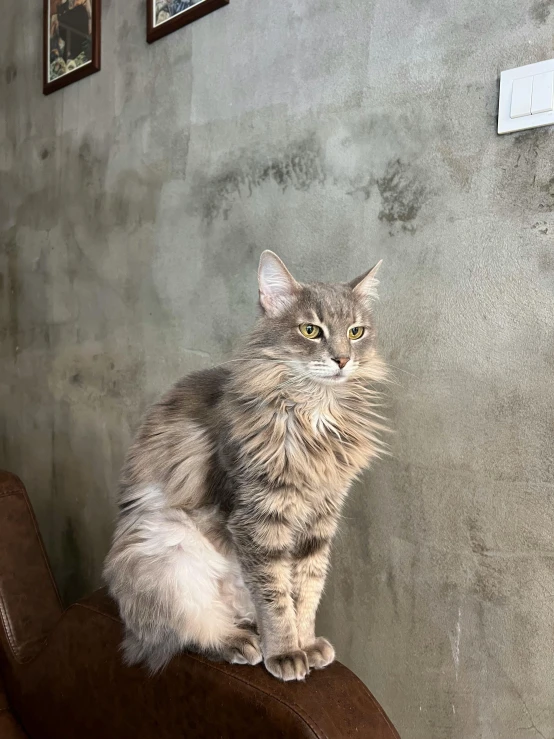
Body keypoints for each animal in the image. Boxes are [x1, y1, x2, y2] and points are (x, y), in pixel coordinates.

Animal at [101, 253, 386, 684]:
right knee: (182, 631)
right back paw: (239, 642)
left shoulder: (320, 520)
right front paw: (286, 653)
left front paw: (305, 643)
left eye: (355, 332)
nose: (342, 359)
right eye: (310, 330)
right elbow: (276, 598)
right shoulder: (259, 518)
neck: (313, 413)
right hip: (163, 553)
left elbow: (306, 591)